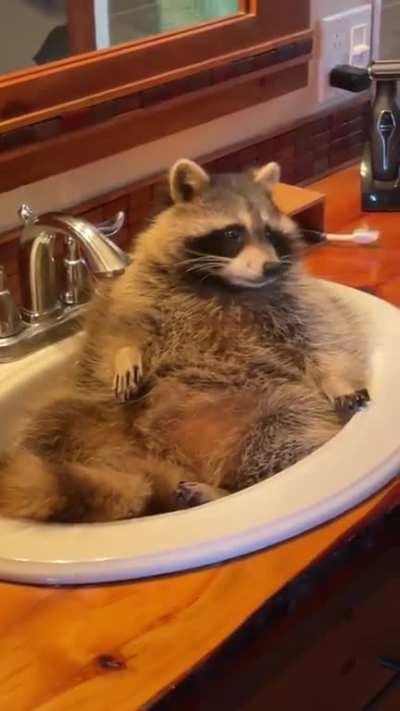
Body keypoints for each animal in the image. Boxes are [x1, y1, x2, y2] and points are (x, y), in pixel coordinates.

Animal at [0, 159, 370, 522]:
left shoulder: (293, 296)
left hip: (274, 405)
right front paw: (125, 354)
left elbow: (322, 332)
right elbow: (119, 329)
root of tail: (172, 461)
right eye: (233, 233)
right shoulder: (138, 286)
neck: (222, 284)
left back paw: (221, 490)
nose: (270, 267)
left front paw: (336, 378)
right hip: (95, 415)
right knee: (52, 421)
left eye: (269, 233)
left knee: (286, 430)